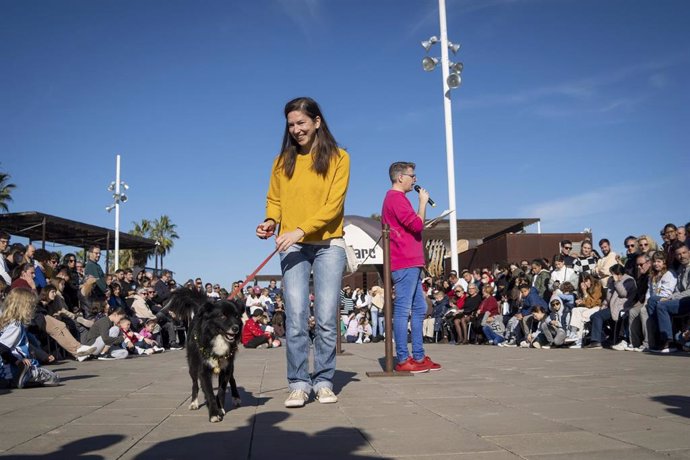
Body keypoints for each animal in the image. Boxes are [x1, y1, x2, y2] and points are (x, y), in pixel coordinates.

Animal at [166, 290, 242, 422]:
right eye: (222, 316)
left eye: (237, 316)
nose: (236, 328)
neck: (217, 337)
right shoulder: (203, 370)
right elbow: (209, 393)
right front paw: (214, 413)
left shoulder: (226, 368)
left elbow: (221, 391)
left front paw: (220, 408)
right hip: (192, 366)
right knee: (195, 384)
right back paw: (194, 403)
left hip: (230, 365)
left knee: (232, 379)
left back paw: (236, 397)